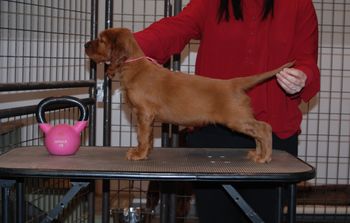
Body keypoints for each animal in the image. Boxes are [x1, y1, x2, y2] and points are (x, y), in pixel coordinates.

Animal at [85, 28, 292, 164]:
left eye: (101, 39)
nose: (85, 45)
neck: (135, 67)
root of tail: (234, 83)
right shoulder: (148, 117)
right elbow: (149, 136)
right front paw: (147, 152)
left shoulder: (143, 113)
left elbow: (142, 136)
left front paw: (139, 154)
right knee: (258, 132)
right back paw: (257, 154)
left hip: (236, 118)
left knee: (264, 128)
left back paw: (265, 157)